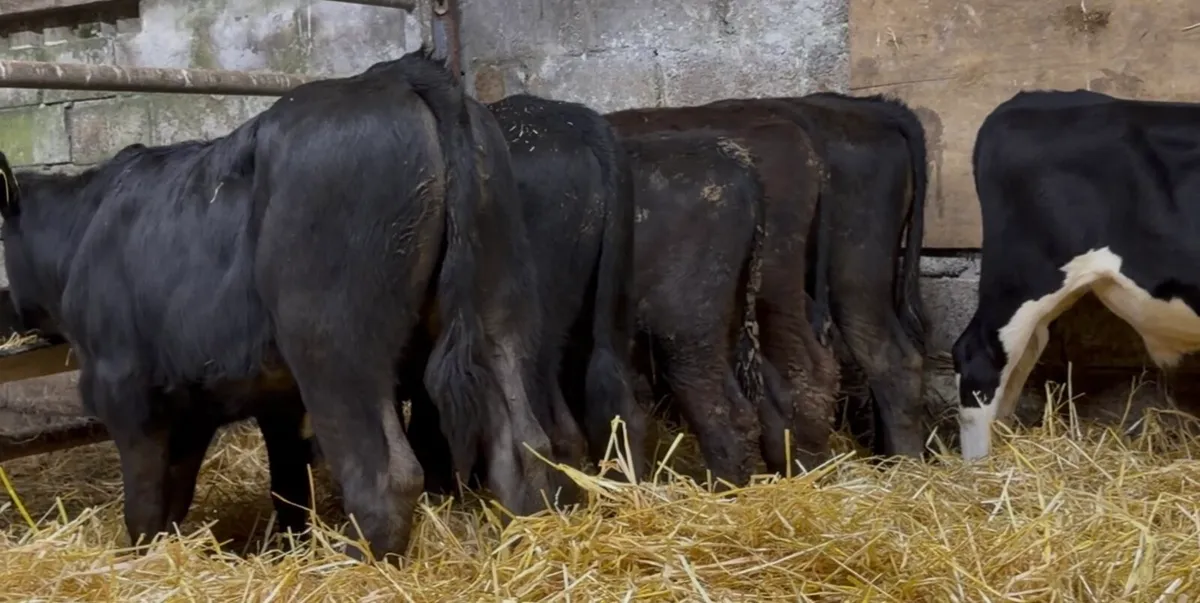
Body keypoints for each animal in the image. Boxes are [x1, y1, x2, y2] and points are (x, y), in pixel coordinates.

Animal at [0, 47, 554, 561]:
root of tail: (398, 72)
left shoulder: (126, 390)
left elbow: (144, 504)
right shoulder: (242, 400)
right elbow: (266, 488)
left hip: (332, 340)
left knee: (385, 477)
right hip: (499, 303)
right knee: (524, 447)